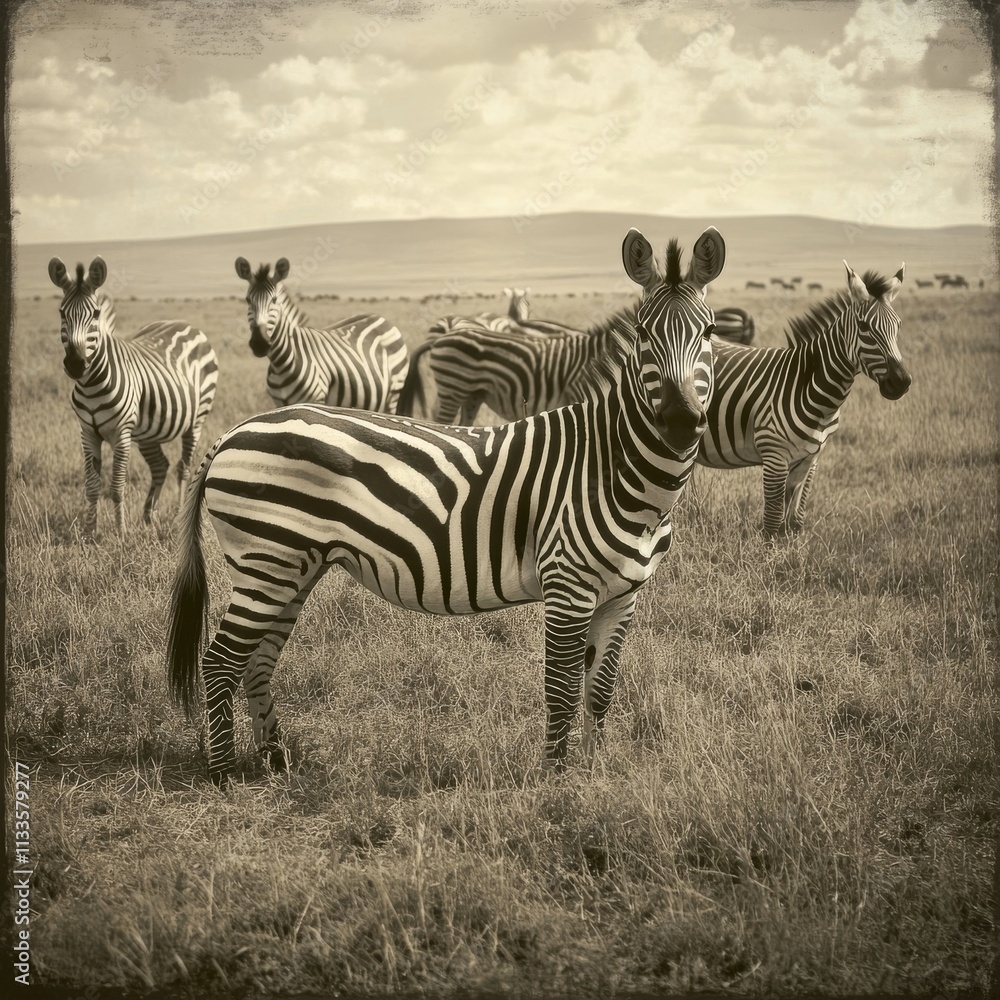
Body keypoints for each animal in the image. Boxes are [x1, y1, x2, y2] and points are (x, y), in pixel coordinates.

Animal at [49, 256, 218, 538]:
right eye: (62, 313)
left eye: (96, 314)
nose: (75, 364)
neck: (91, 383)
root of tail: (184, 323)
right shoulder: (87, 433)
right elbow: (91, 485)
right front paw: (89, 532)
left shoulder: (121, 433)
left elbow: (117, 487)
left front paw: (120, 533)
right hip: (149, 432)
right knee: (161, 466)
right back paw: (149, 516)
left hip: (197, 419)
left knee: (183, 468)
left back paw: (177, 514)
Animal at [236, 257, 409, 413]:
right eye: (247, 300)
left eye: (274, 300)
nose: (259, 343)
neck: (280, 362)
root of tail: (381, 318)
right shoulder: (279, 404)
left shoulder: (314, 399)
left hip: (394, 393)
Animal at [697, 261, 911, 537]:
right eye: (864, 327)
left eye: (899, 326)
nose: (902, 381)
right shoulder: (774, 455)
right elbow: (773, 521)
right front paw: (768, 549)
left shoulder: (811, 458)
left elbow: (795, 520)